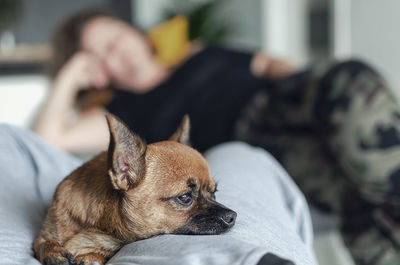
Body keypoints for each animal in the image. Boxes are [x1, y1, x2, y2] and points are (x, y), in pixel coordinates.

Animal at [33, 114, 238, 264]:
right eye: (185, 197)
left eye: (214, 193)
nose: (233, 216)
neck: (99, 227)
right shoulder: (41, 239)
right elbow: (45, 243)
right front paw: (55, 253)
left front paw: (90, 257)